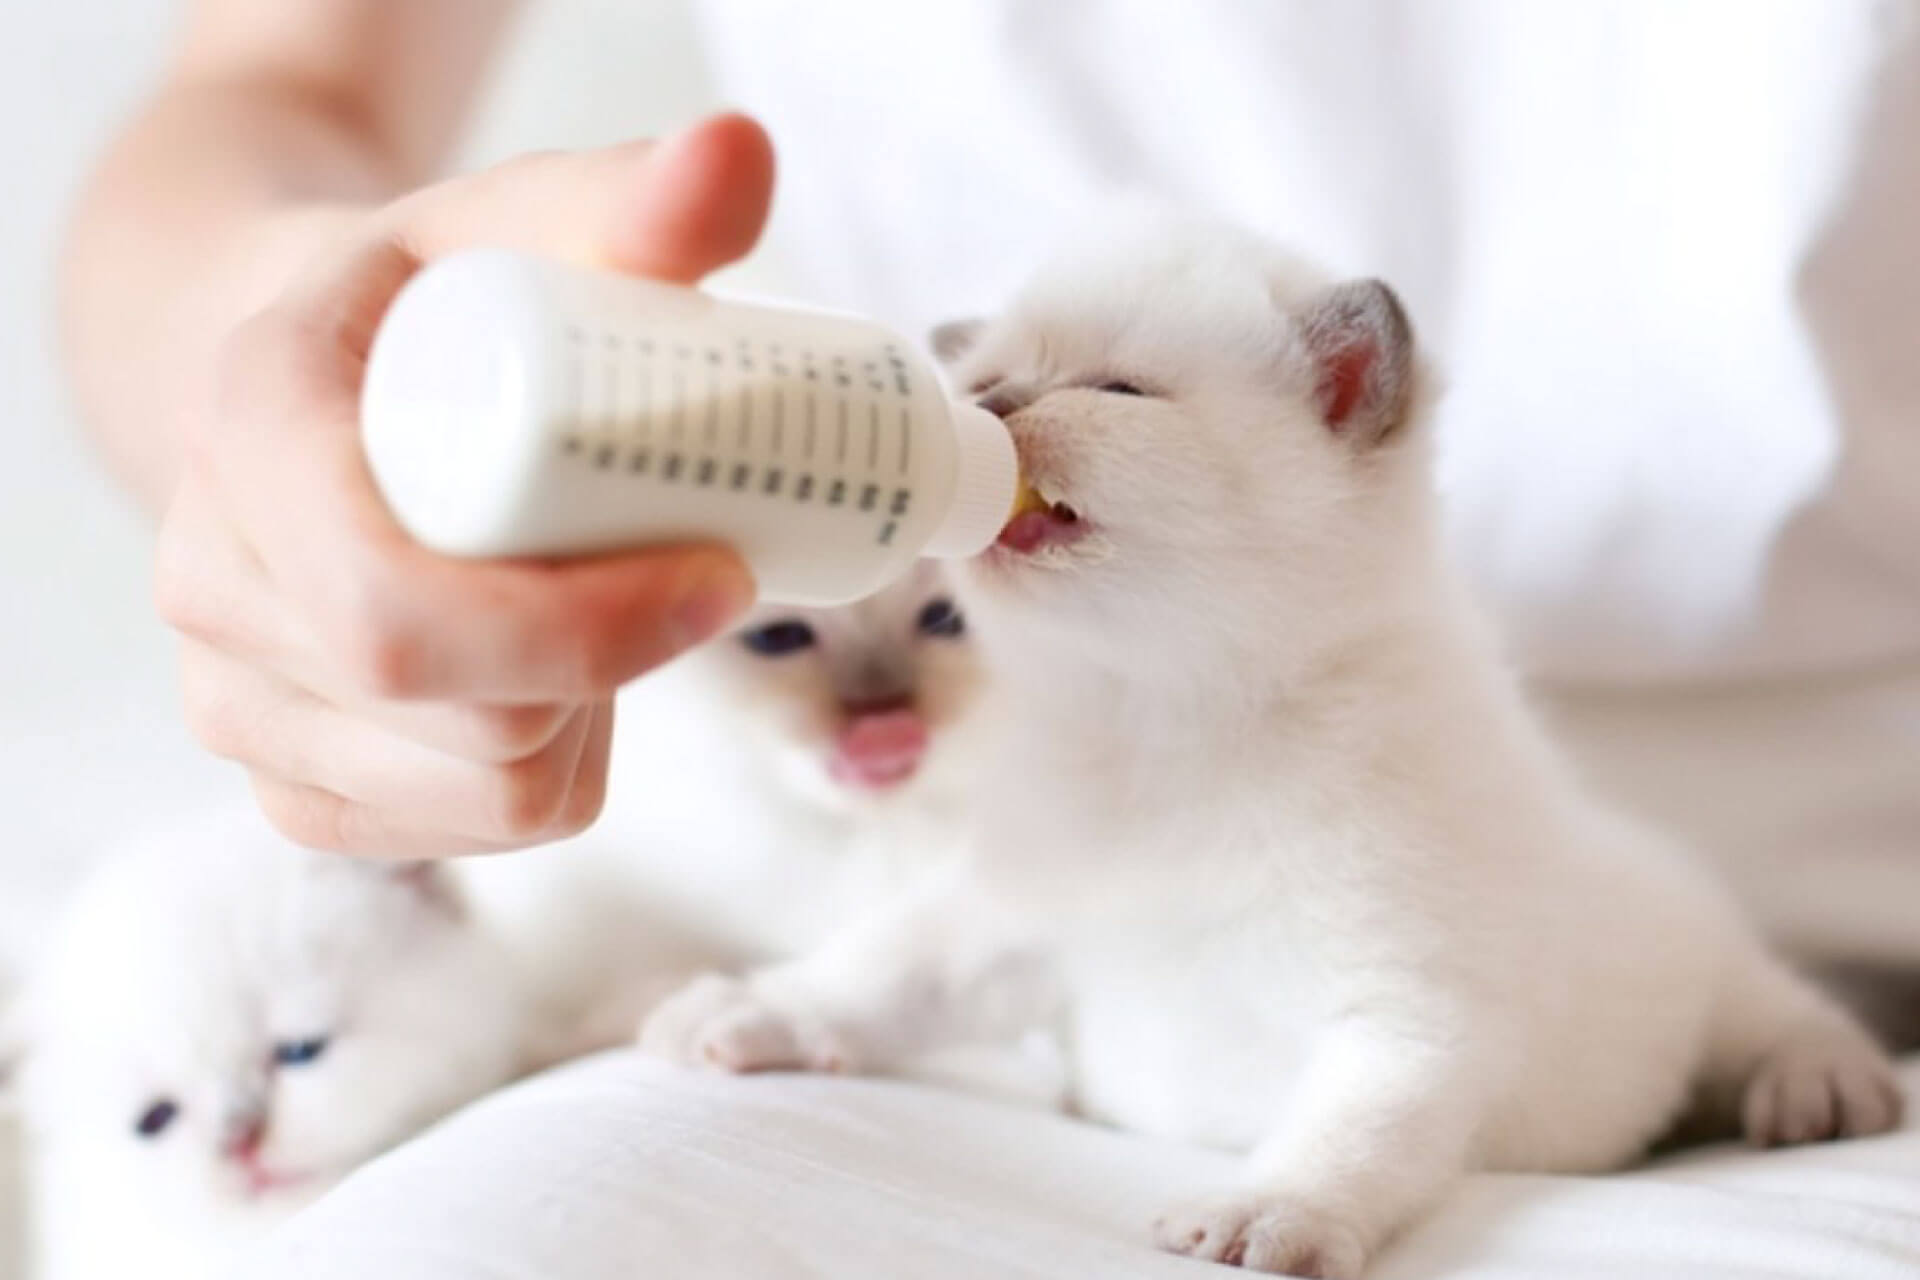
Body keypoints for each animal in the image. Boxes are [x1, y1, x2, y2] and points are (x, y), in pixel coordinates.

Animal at [637, 225, 1896, 1274]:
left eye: (1114, 390)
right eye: (984, 379)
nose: (986, 401)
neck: (1169, 726)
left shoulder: (1406, 1010)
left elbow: (1348, 1131)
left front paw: (1268, 1210)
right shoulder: (1011, 920)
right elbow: (879, 970)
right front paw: (750, 1013)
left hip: (1707, 981)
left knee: (1779, 1012)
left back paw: (1821, 1083)